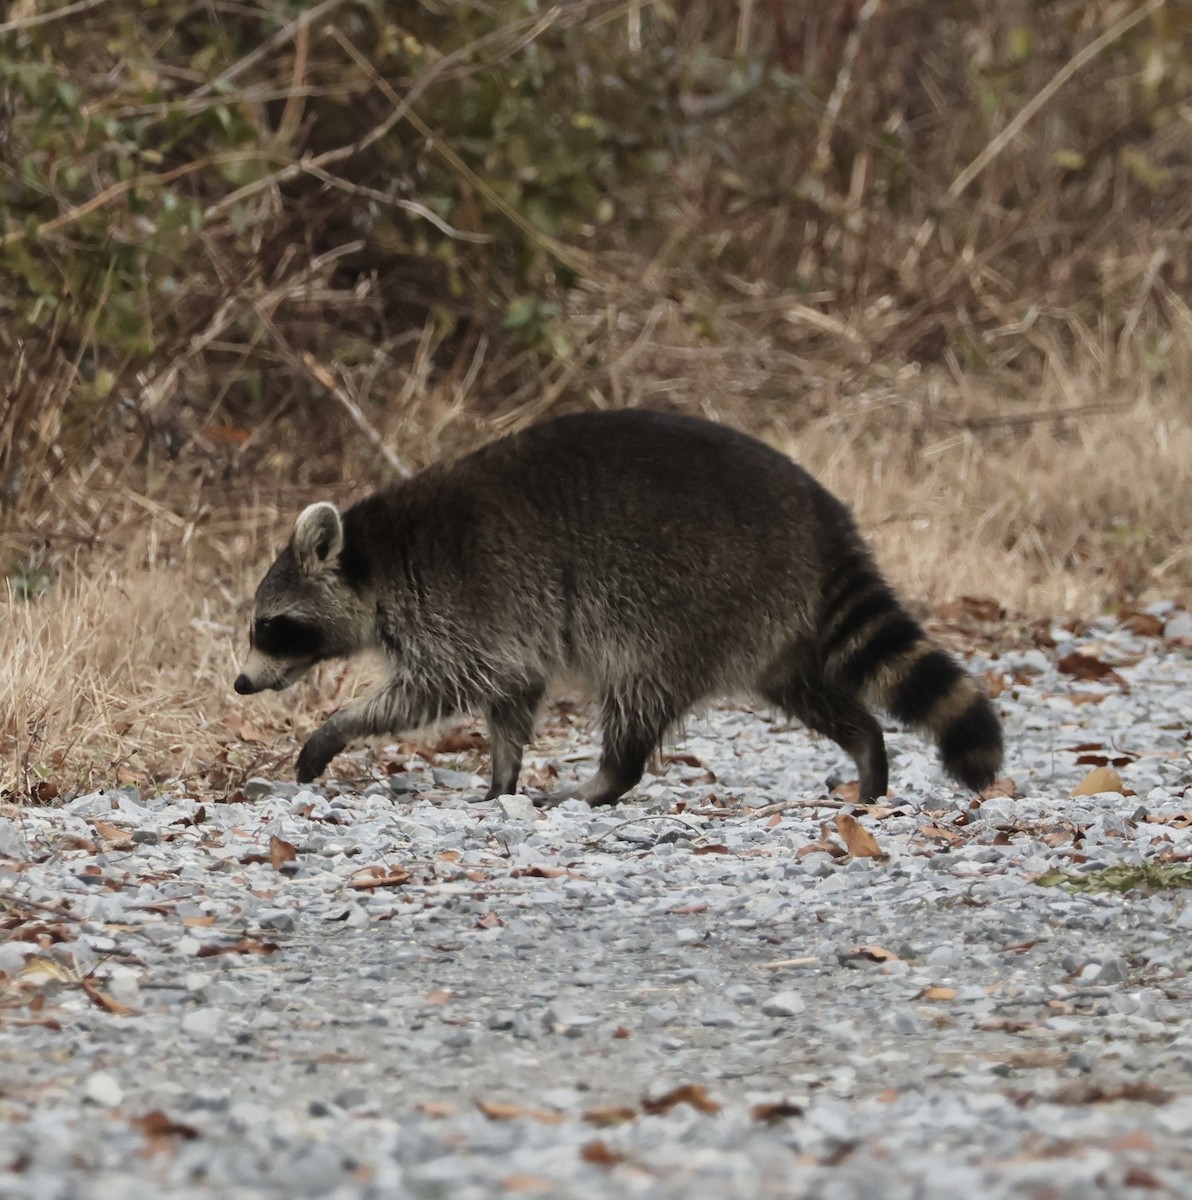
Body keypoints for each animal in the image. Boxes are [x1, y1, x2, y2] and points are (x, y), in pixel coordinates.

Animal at [234, 409, 1003, 805]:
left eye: (271, 626)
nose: (240, 683)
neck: (380, 555)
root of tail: (821, 517)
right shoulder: (505, 628)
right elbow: (513, 694)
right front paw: (503, 773)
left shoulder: (461, 605)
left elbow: (434, 691)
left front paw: (338, 726)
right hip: (769, 620)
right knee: (805, 689)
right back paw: (866, 748)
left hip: (688, 598)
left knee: (639, 691)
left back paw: (606, 780)